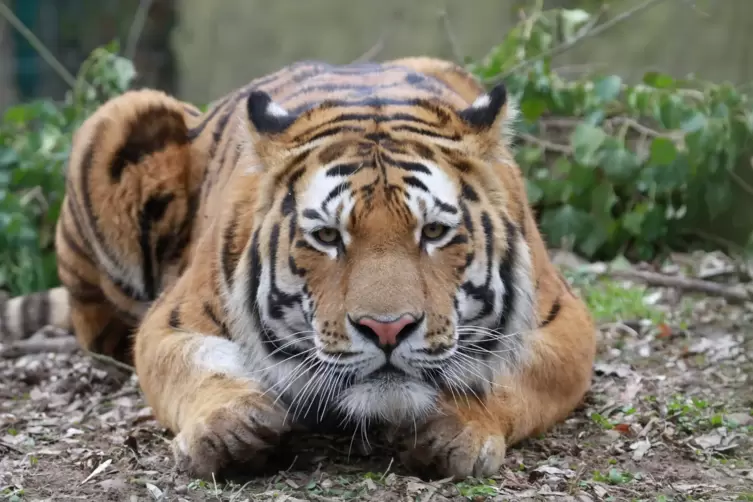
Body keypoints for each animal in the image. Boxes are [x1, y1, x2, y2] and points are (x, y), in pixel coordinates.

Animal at [2, 55, 596, 478]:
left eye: (432, 233)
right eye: (328, 237)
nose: (387, 329)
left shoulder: (565, 323)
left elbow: (510, 376)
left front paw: (453, 427)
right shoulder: (171, 320)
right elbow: (198, 364)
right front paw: (229, 428)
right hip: (124, 116)